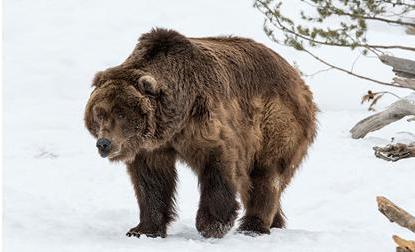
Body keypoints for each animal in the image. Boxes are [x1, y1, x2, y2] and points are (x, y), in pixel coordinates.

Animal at [84, 28, 318, 239]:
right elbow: (151, 181)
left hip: (274, 124)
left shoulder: (205, 121)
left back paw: (253, 227)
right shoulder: (152, 147)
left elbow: (219, 163)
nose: (104, 143)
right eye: (99, 113)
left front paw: (212, 224)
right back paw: (276, 222)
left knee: (266, 175)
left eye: (121, 113)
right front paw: (142, 229)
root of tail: (297, 79)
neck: (174, 120)